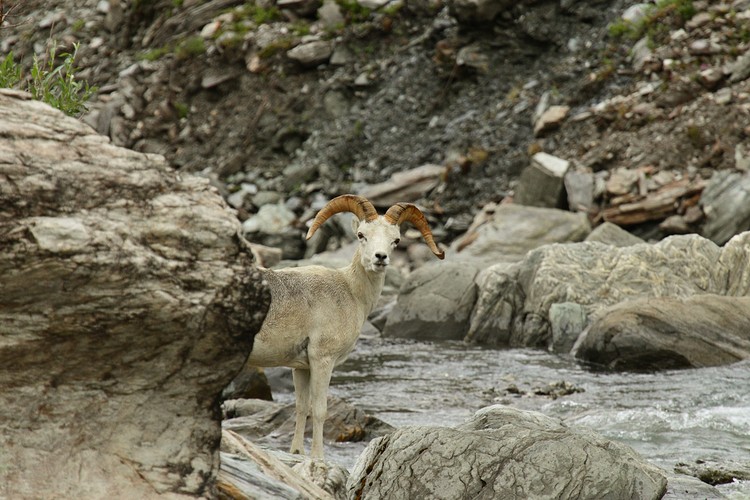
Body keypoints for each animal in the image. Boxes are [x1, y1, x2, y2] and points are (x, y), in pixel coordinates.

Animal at [247, 194, 444, 459]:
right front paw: (318, 458)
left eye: (395, 240)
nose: (380, 258)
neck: (350, 291)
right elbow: (319, 411)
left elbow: (301, 407)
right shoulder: (323, 359)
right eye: (361, 235)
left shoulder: (301, 367)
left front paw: (297, 452)